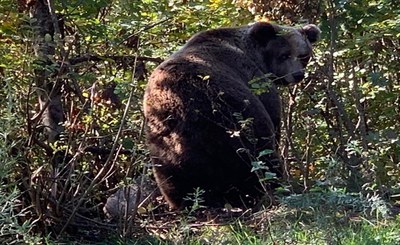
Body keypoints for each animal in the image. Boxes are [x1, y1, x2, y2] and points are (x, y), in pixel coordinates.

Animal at [142, 22, 320, 209]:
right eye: (284, 54)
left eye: (303, 55)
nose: (297, 74)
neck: (257, 56)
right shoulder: (255, 80)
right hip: (231, 119)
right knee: (258, 155)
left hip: (164, 140)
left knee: (173, 176)